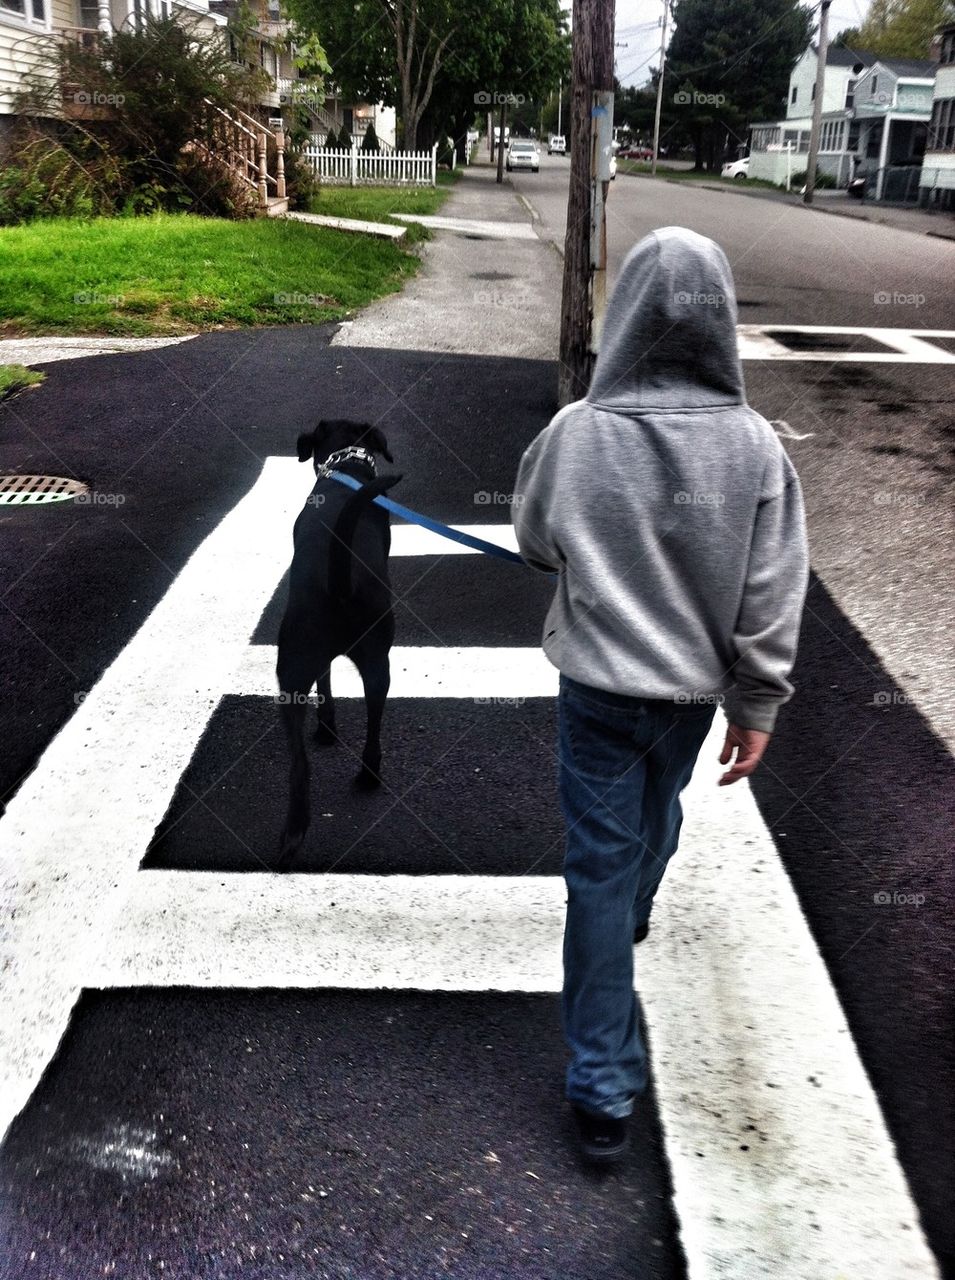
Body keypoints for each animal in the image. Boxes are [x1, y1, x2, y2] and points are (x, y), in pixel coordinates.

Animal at [275, 422, 396, 870]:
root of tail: (341, 580)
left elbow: (325, 684)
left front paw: (326, 726)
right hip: (373, 661)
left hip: (294, 661)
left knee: (301, 763)